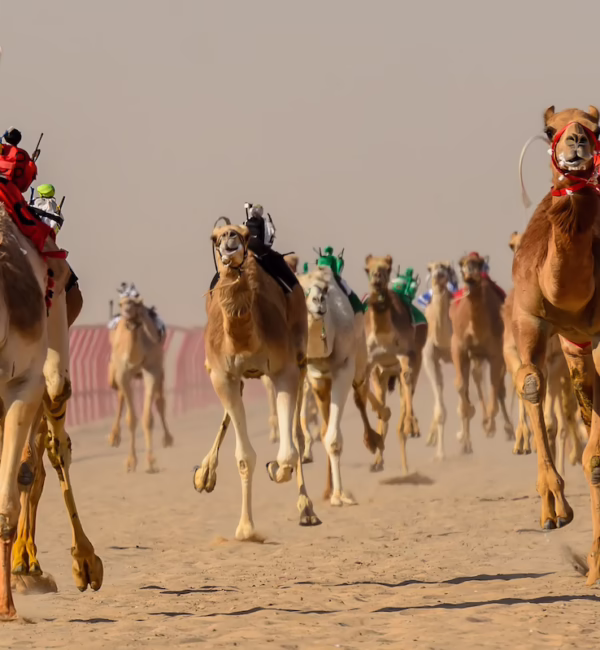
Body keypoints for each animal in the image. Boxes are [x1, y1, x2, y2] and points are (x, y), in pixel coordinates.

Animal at [108, 284, 173, 473]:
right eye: (121, 303)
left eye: (137, 304)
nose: (127, 313)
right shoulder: (122, 373)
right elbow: (131, 418)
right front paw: (131, 462)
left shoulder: (152, 370)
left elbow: (148, 417)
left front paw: (151, 461)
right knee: (121, 398)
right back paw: (113, 437)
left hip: (160, 369)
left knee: (160, 401)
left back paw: (168, 439)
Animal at [193, 223, 320, 538]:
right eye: (215, 237)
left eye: (243, 233)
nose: (230, 239)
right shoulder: (222, 375)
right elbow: (244, 456)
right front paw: (246, 529)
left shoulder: (284, 369)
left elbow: (288, 451)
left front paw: (275, 469)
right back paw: (204, 474)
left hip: (300, 353)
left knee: (297, 435)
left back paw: (307, 509)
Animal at [297, 267, 377, 505]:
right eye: (300, 290)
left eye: (324, 290)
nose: (318, 301)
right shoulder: (316, 376)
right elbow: (326, 434)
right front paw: (334, 494)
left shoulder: (344, 368)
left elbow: (333, 439)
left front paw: (340, 495)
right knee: (324, 428)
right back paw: (326, 489)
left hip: (359, 356)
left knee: (360, 392)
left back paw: (373, 441)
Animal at [363, 255, 427, 474]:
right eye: (367, 268)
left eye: (387, 268)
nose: (376, 277)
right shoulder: (371, 362)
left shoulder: (405, 355)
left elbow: (406, 383)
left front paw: (411, 426)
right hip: (385, 374)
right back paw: (377, 460)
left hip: (415, 359)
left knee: (408, 388)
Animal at [450, 253, 513, 454]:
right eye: (461, 263)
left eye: (480, 263)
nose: (470, 273)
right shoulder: (458, 347)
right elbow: (460, 386)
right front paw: (465, 439)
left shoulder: (496, 353)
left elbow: (494, 386)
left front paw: (490, 427)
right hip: (474, 356)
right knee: (476, 378)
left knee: (498, 388)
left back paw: (506, 429)